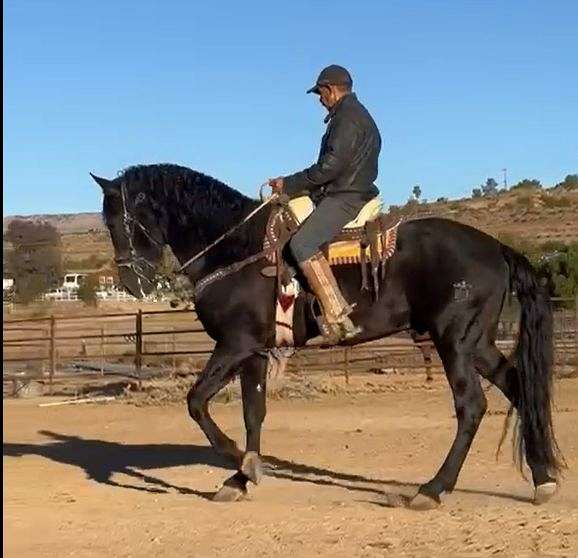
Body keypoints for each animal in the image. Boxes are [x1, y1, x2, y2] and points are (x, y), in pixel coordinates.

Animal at [91, 163, 564, 512]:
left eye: (122, 221)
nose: (131, 283)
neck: (236, 247)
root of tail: (496, 247)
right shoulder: (255, 352)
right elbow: (253, 413)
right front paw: (242, 476)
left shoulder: (234, 345)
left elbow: (196, 402)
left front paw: (238, 462)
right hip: (477, 343)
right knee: (519, 387)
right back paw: (543, 480)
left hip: (454, 342)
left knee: (472, 406)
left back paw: (432, 489)